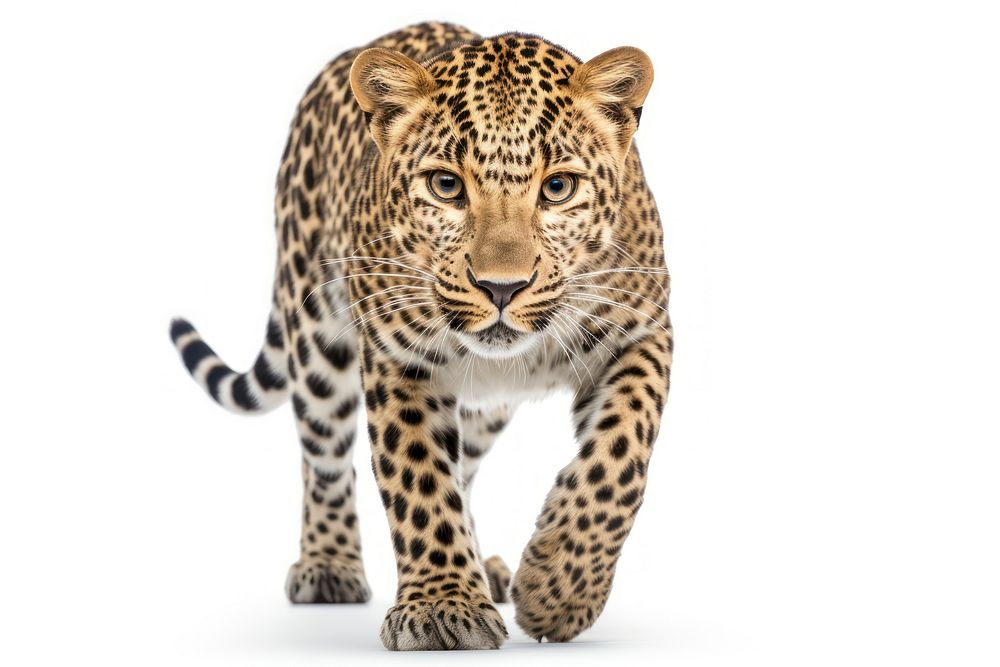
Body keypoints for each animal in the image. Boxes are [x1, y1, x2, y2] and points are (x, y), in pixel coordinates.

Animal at [170, 21, 672, 650]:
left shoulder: (643, 334)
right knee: (325, 457)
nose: (501, 287)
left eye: (557, 187)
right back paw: (329, 566)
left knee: (467, 464)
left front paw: (558, 590)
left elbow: (619, 458)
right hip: (315, 334)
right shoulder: (398, 356)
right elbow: (420, 478)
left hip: (486, 407)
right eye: (445, 186)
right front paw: (442, 607)